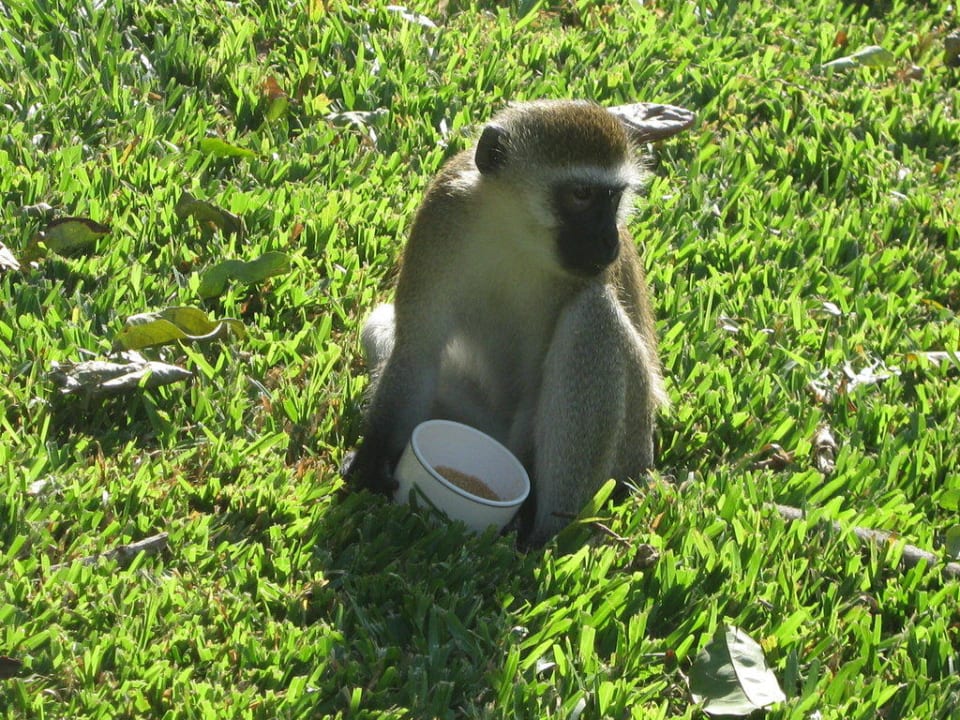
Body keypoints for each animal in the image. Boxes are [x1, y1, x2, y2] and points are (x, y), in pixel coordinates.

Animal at [344, 99, 695, 546]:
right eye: (581, 195)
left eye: (613, 198)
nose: (609, 241)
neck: (514, 228)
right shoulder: (443, 210)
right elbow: (417, 349)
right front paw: (373, 461)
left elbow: (538, 383)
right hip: (486, 423)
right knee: (379, 326)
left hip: (629, 448)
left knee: (591, 316)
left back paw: (547, 536)